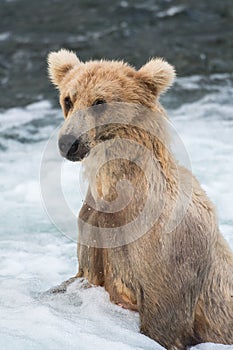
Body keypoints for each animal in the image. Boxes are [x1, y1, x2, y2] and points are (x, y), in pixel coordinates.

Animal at [47, 49, 233, 350]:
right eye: (68, 99)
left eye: (99, 101)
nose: (69, 143)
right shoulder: (95, 227)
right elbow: (83, 273)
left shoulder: (168, 252)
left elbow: (164, 320)